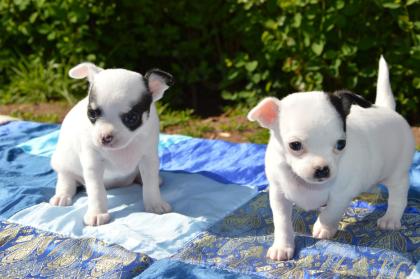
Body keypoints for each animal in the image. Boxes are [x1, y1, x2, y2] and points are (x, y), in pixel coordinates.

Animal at [49, 62, 174, 226]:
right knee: (66, 178)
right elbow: (97, 191)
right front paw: (97, 213)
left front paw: (155, 203)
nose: (105, 137)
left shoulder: (149, 159)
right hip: (63, 162)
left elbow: (150, 184)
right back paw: (63, 194)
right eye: (92, 114)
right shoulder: (93, 165)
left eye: (132, 118)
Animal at [248, 57, 416, 262]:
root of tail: (386, 109)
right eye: (295, 145)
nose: (322, 169)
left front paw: (323, 227)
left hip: (397, 173)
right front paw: (282, 246)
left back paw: (391, 218)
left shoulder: (341, 195)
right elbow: (282, 223)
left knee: (398, 195)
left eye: (341, 144)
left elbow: (331, 212)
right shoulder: (278, 195)